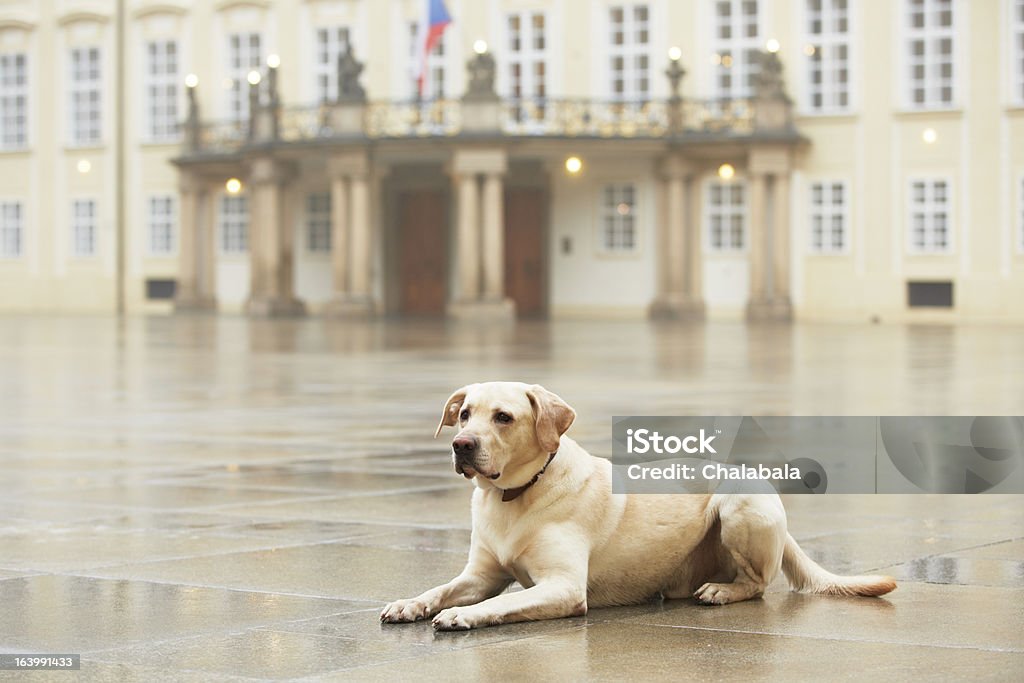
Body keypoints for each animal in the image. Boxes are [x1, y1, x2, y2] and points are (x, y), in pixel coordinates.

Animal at [380, 382, 892, 634]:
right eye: (465, 414)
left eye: (503, 417)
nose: (461, 445)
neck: (515, 494)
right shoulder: (479, 576)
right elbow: (439, 589)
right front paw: (410, 603)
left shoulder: (564, 587)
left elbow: (505, 603)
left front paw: (463, 617)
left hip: (739, 505)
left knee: (759, 583)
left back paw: (723, 591)